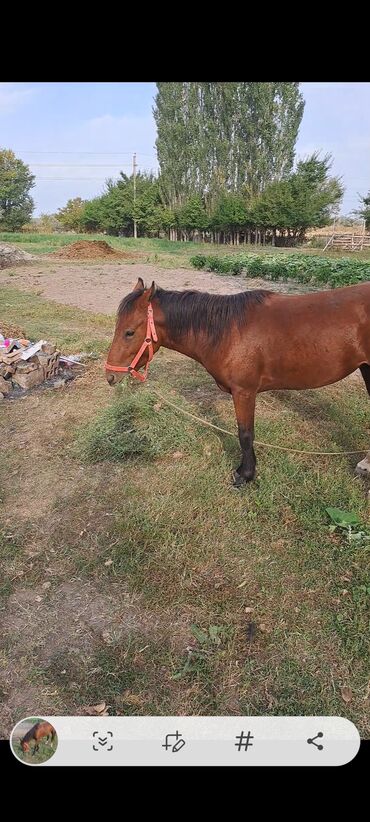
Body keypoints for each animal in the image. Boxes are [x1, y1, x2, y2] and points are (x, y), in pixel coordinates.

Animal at [105, 282, 370, 490]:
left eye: (129, 332)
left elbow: (245, 434)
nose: (110, 376)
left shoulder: (244, 392)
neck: (228, 331)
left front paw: (245, 474)